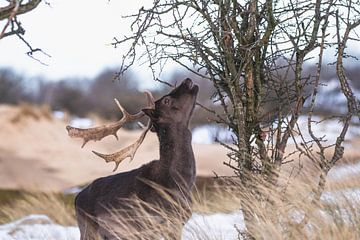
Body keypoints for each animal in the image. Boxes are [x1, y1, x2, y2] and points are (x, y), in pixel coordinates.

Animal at [66, 79, 198, 240]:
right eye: (166, 100)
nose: (187, 80)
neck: (179, 182)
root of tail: (76, 198)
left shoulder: (178, 224)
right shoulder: (150, 225)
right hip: (88, 229)